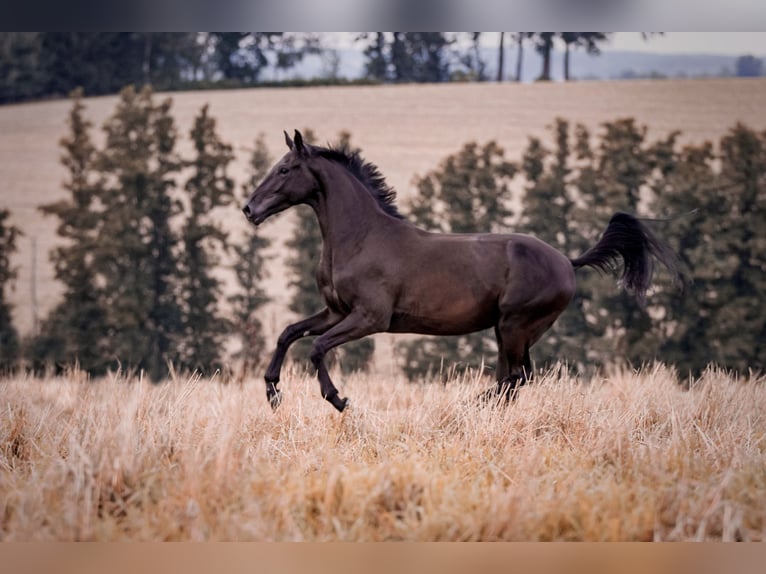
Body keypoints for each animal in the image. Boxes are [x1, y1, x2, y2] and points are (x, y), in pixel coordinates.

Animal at [242, 130, 684, 412]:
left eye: (284, 170)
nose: (249, 209)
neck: (361, 237)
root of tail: (566, 261)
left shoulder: (370, 318)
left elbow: (317, 347)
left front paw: (337, 399)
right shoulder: (336, 311)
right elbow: (288, 333)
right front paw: (272, 392)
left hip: (516, 326)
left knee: (516, 378)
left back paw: (469, 406)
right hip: (507, 330)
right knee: (514, 378)